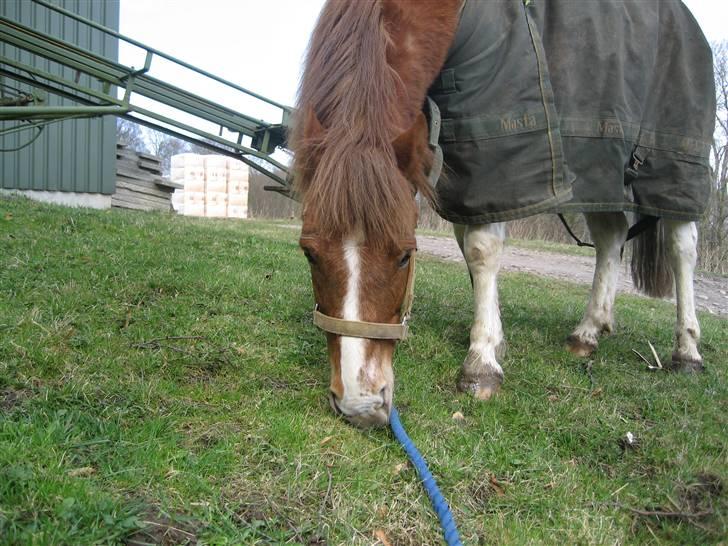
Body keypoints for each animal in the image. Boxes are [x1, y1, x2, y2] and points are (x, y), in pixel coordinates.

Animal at [288, 0, 712, 428]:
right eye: (309, 253)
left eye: (406, 255)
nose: (360, 405)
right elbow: (467, 243)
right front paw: (494, 335)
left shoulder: (496, 154)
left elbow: (480, 248)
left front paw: (482, 362)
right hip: (601, 166)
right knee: (611, 236)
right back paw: (589, 330)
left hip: (672, 162)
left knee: (681, 245)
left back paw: (687, 351)